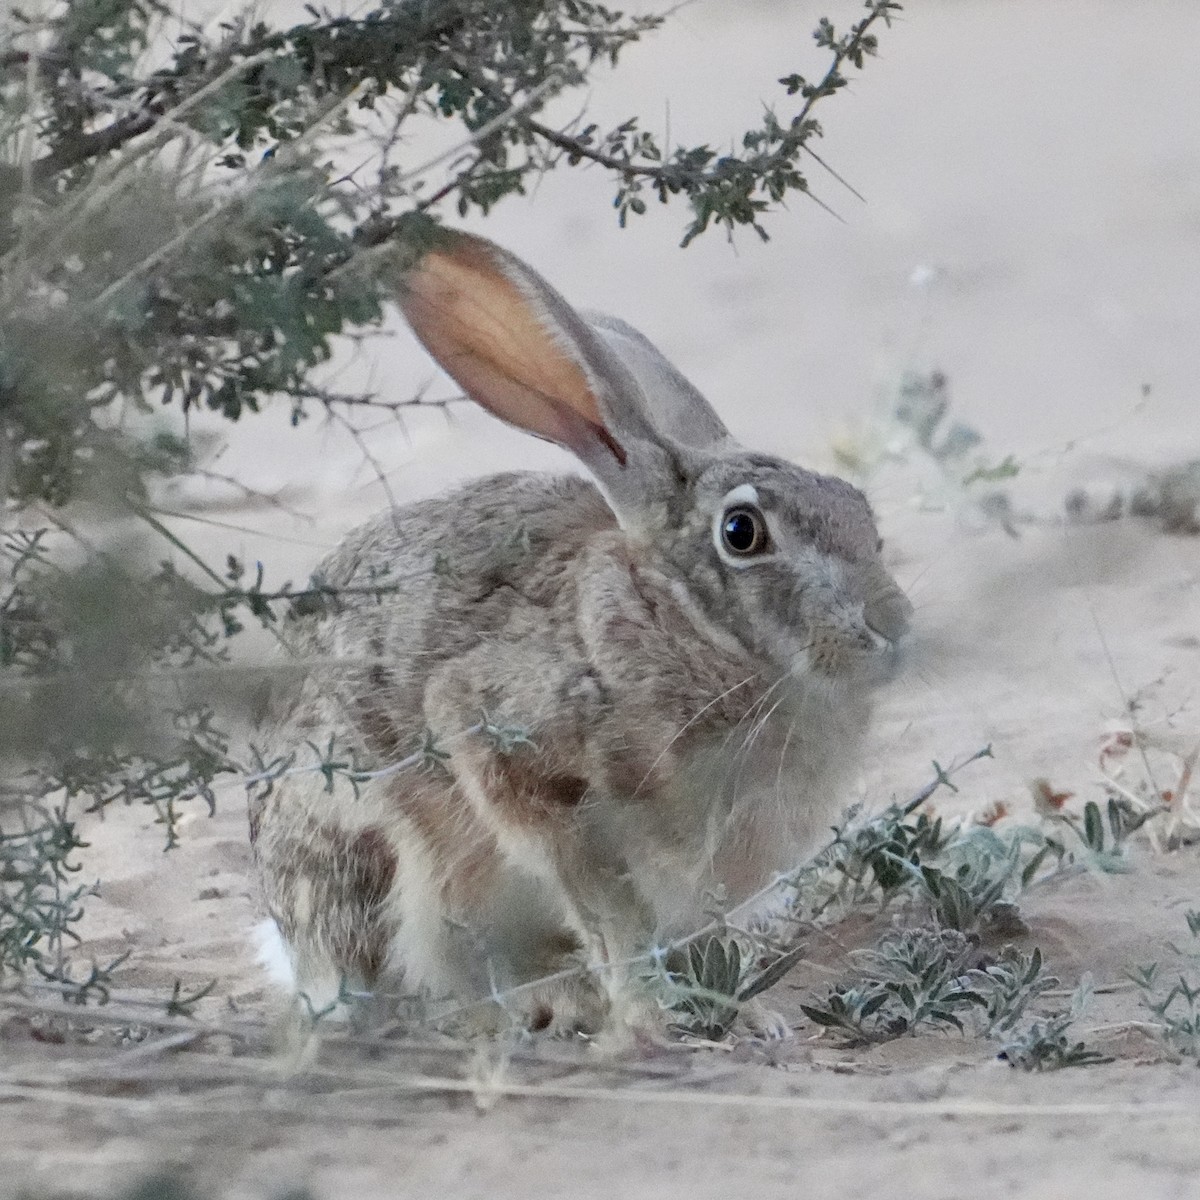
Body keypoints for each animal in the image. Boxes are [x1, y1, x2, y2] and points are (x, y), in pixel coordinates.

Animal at [250, 230, 913, 1034]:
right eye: (741, 532)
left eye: (860, 513)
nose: (892, 625)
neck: (687, 625)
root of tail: (288, 941)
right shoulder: (508, 744)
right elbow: (606, 909)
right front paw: (649, 1014)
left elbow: (705, 936)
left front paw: (745, 1015)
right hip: (371, 854)